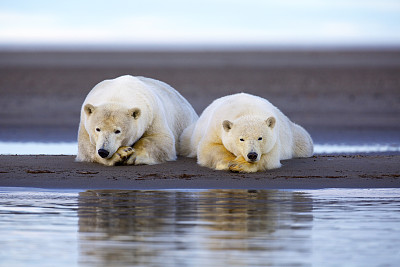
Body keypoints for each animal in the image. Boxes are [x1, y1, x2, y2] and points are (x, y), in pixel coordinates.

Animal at [180, 93, 314, 173]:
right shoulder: (216, 126)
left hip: (295, 136)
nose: (252, 155)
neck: (246, 111)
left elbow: (270, 157)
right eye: (241, 139)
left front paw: (240, 165)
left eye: (260, 138)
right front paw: (228, 162)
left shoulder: (274, 139)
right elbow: (208, 148)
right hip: (189, 135)